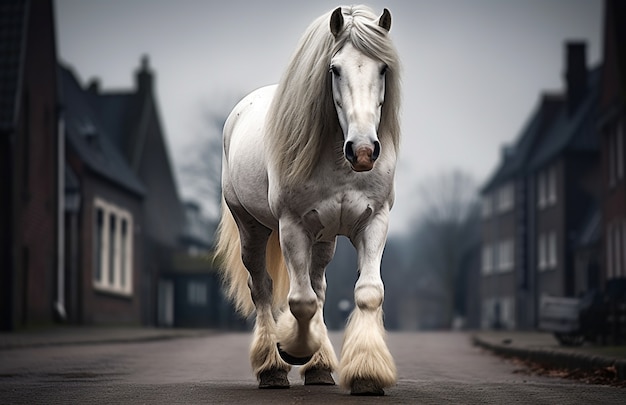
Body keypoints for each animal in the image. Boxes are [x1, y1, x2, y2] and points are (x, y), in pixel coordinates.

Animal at [214, 3, 400, 394]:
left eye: (383, 67)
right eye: (334, 68)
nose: (363, 151)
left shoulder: (374, 222)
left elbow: (367, 292)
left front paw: (367, 373)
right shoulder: (293, 226)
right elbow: (299, 302)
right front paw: (292, 351)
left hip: (324, 238)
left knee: (318, 287)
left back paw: (320, 367)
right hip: (251, 228)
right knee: (262, 288)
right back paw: (272, 367)